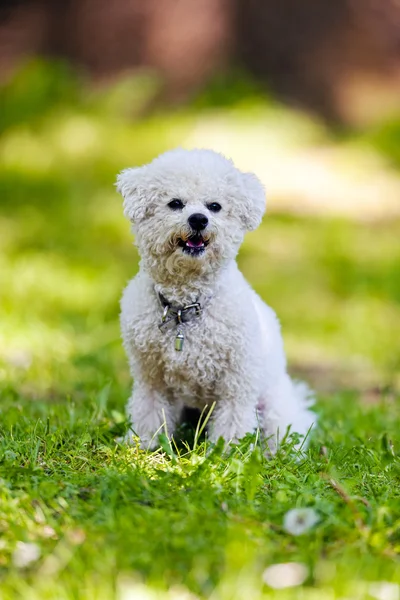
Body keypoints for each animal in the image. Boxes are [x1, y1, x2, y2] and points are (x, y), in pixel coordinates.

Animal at [115, 149, 316, 450]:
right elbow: (149, 414)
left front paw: (225, 455)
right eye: (175, 203)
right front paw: (144, 447)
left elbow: (231, 425)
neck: (186, 307)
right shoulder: (151, 378)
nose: (199, 219)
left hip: (274, 407)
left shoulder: (237, 384)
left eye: (215, 206)